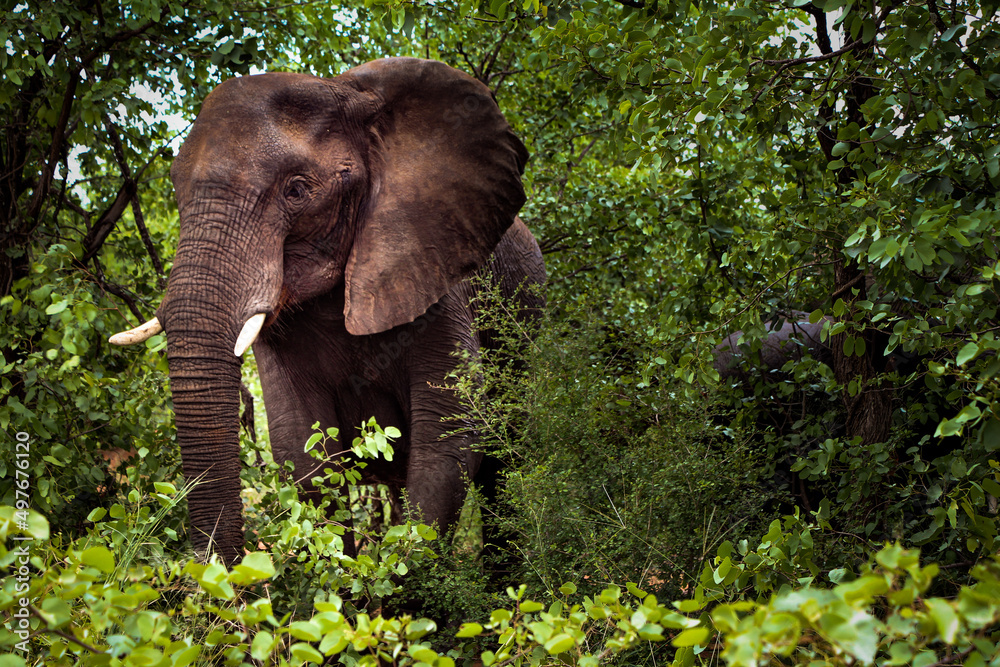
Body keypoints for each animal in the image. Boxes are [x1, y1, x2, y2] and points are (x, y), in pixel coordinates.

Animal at [109, 58, 546, 565]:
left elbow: (448, 437)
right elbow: (301, 446)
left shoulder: (438, 266)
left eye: (297, 191)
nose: (218, 571)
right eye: (176, 191)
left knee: (503, 463)